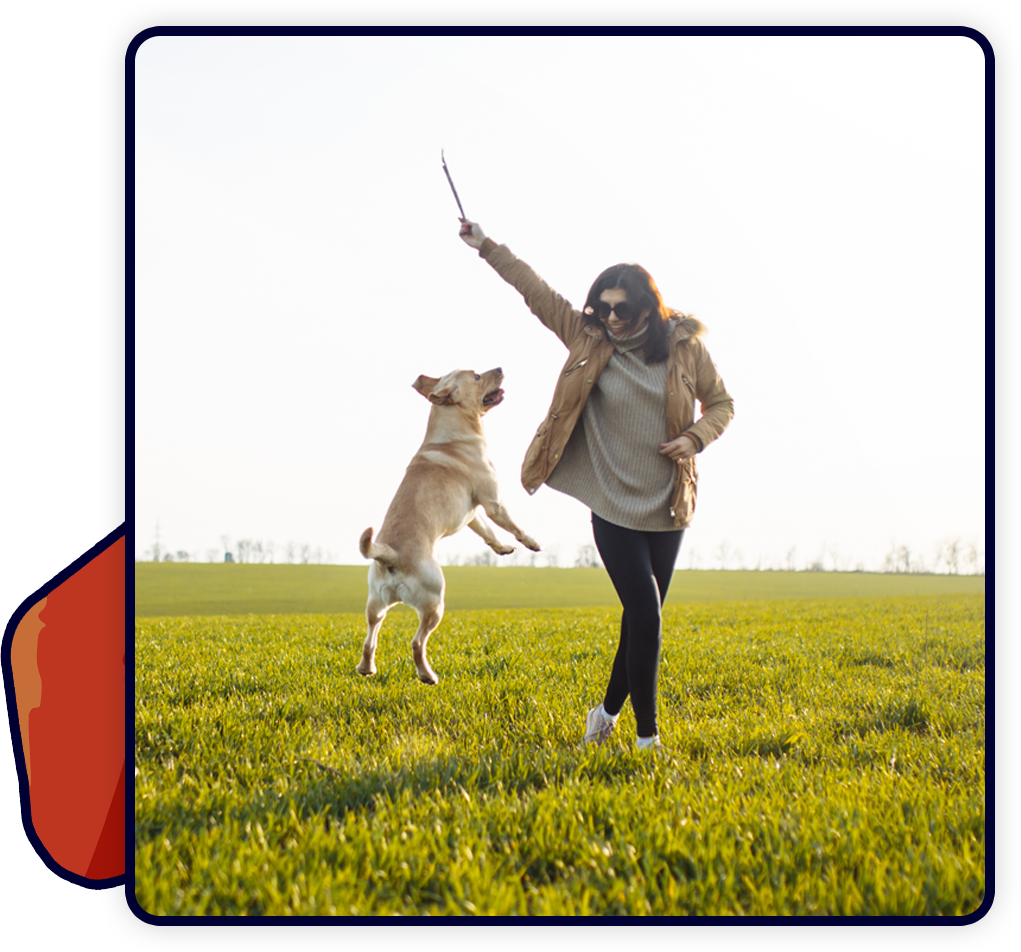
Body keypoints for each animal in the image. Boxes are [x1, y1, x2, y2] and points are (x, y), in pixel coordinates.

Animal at [357, 365, 539, 682]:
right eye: (477, 376)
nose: (500, 368)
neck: (453, 433)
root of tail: (390, 555)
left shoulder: (473, 514)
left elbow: (488, 533)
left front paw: (502, 549)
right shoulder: (493, 502)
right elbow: (513, 525)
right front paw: (531, 542)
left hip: (376, 605)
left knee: (370, 639)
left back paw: (367, 668)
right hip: (435, 602)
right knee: (417, 642)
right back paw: (427, 675)